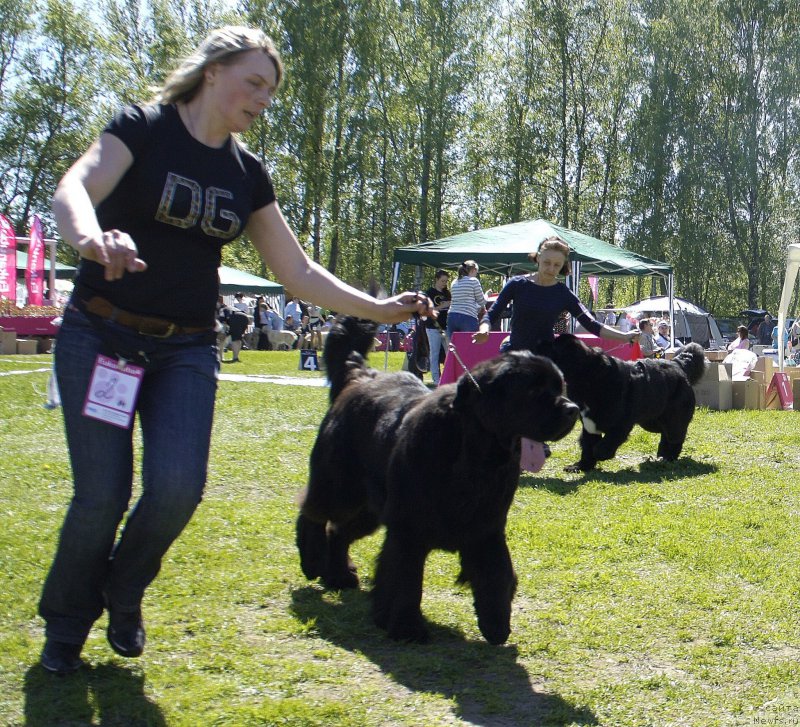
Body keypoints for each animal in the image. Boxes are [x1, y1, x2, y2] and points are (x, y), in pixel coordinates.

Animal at [296, 316, 580, 644]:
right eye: (534, 393)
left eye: (562, 387)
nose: (572, 409)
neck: (473, 458)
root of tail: (361, 377)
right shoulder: (408, 529)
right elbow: (405, 580)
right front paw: (406, 627)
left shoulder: (486, 527)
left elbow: (497, 573)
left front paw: (496, 625)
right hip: (340, 485)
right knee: (314, 511)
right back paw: (312, 561)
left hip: (370, 509)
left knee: (339, 530)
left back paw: (339, 576)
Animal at [544, 334, 708, 472]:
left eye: (553, 348)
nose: (540, 345)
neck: (589, 377)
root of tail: (677, 365)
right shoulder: (589, 422)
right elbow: (587, 445)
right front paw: (581, 466)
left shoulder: (621, 422)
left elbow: (605, 443)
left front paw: (600, 454)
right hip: (651, 420)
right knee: (665, 434)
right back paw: (662, 455)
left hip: (673, 417)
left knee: (676, 435)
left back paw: (669, 458)